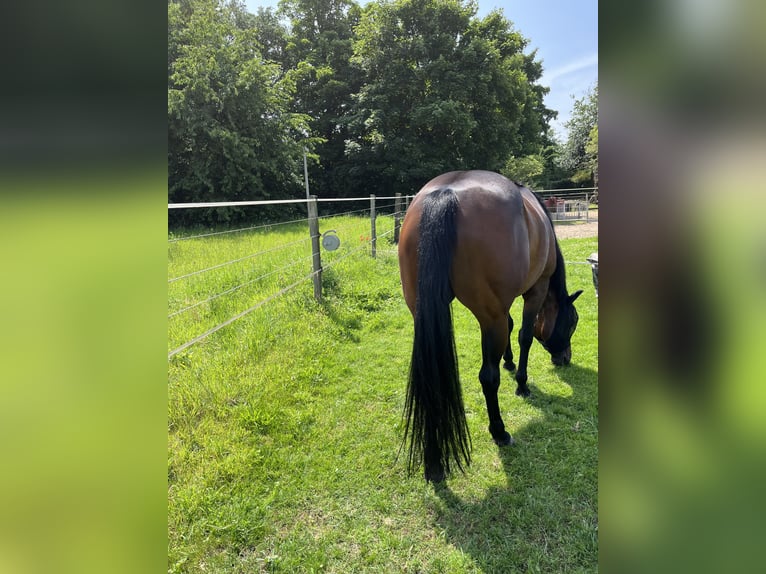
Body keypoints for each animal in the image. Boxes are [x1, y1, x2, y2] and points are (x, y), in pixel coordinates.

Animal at [397, 170, 583, 482]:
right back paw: (499, 431)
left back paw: (433, 462)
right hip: (488, 316)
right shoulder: (535, 290)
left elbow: (510, 327)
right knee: (488, 377)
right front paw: (521, 383)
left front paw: (509, 362)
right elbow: (523, 335)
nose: (564, 358)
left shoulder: (502, 308)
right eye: (572, 322)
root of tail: (446, 192)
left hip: (424, 310)